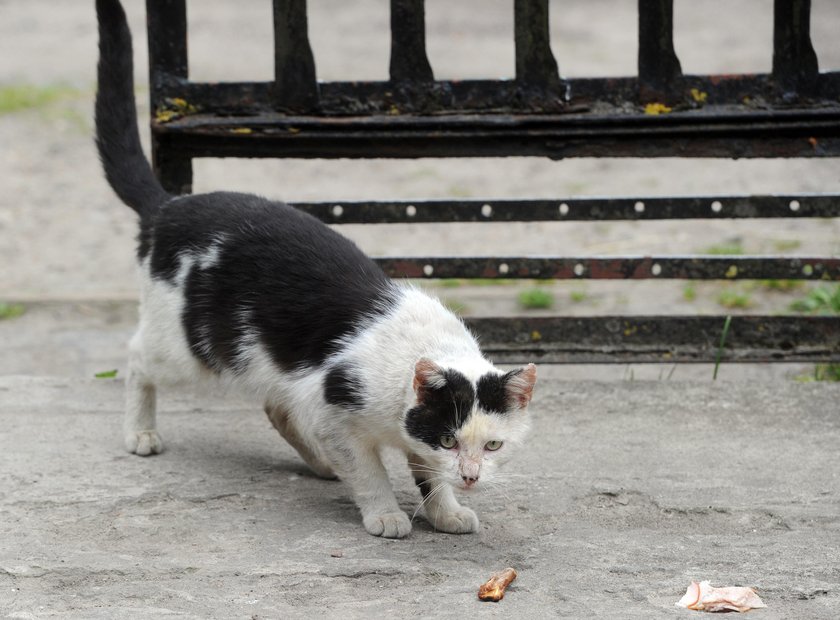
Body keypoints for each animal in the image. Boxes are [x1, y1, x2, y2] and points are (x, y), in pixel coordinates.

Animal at [93, 0, 540, 536]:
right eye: (451, 439)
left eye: (493, 445)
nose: (472, 476)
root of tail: (168, 207)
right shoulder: (334, 410)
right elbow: (369, 469)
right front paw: (386, 514)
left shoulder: (380, 423)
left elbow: (426, 471)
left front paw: (446, 510)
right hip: (185, 349)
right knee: (139, 357)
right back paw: (140, 432)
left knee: (275, 406)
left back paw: (321, 465)